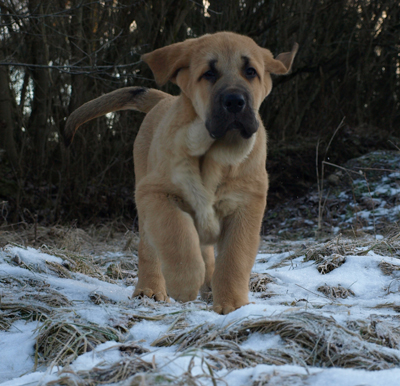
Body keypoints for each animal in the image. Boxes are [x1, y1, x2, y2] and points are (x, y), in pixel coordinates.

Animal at [65, 32, 296, 314]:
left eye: (251, 71)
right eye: (209, 73)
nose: (234, 102)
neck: (215, 156)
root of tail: (164, 100)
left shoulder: (246, 204)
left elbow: (234, 258)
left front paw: (232, 304)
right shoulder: (156, 193)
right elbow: (177, 236)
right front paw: (185, 284)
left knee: (206, 252)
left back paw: (208, 286)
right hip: (145, 205)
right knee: (150, 250)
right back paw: (151, 289)